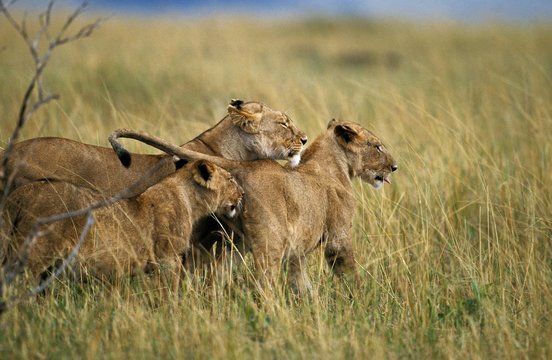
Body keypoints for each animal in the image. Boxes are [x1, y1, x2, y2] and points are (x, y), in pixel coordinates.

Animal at [1, 160, 244, 292]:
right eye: (231, 179)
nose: (242, 194)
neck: (189, 199)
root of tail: (18, 196)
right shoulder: (167, 259)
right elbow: (169, 293)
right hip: (33, 257)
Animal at [106, 119, 396, 292]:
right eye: (378, 146)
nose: (394, 167)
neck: (337, 166)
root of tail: (242, 165)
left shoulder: (298, 250)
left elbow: (301, 283)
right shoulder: (338, 237)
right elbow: (348, 272)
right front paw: (361, 299)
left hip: (237, 243)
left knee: (216, 276)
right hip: (271, 242)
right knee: (263, 284)